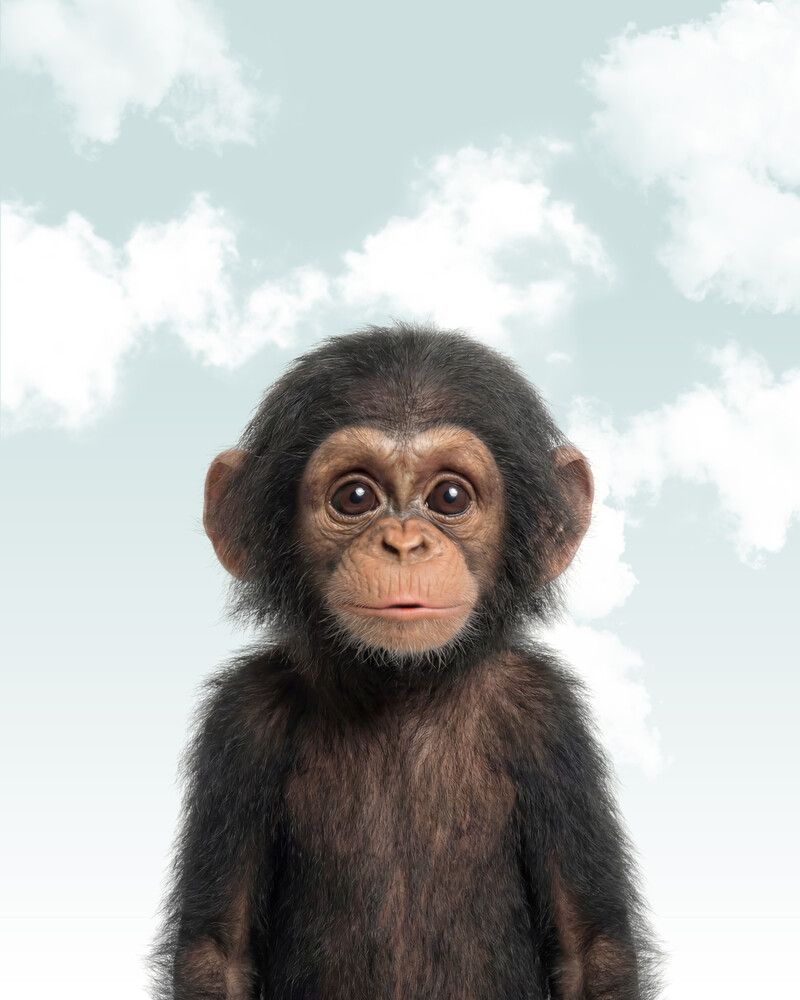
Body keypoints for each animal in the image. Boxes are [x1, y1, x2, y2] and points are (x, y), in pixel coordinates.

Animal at [149, 322, 662, 1000]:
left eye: (449, 496)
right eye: (355, 496)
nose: (403, 543)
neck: (401, 686)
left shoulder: (547, 716)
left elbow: (591, 950)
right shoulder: (242, 720)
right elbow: (218, 952)